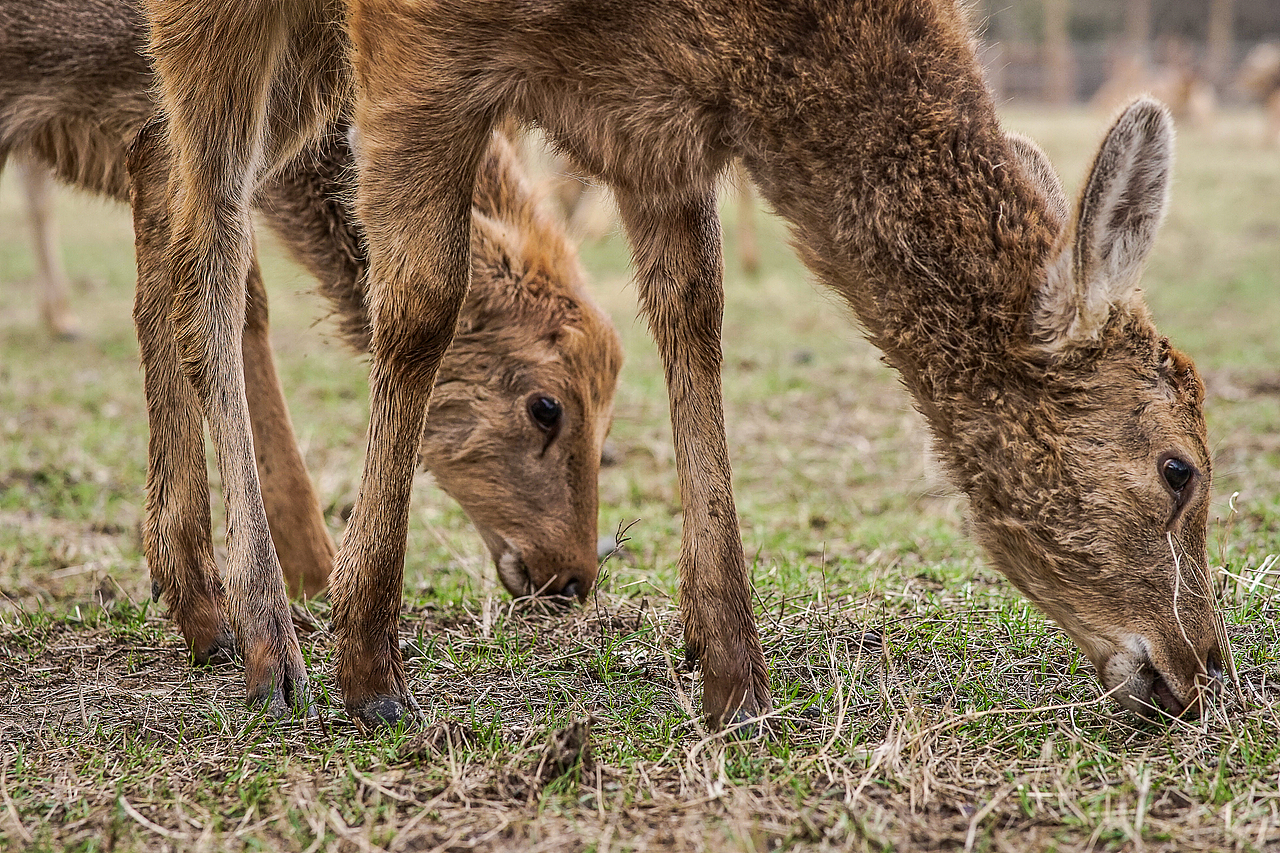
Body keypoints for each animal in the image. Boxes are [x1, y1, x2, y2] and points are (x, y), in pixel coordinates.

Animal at [137, 0, 1226, 727]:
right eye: (1178, 468)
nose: (1199, 669)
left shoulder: (651, 115)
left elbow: (692, 317)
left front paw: (730, 668)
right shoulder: (420, 36)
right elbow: (418, 303)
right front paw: (369, 664)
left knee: (185, 239)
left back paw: (197, 598)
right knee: (209, 242)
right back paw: (265, 632)